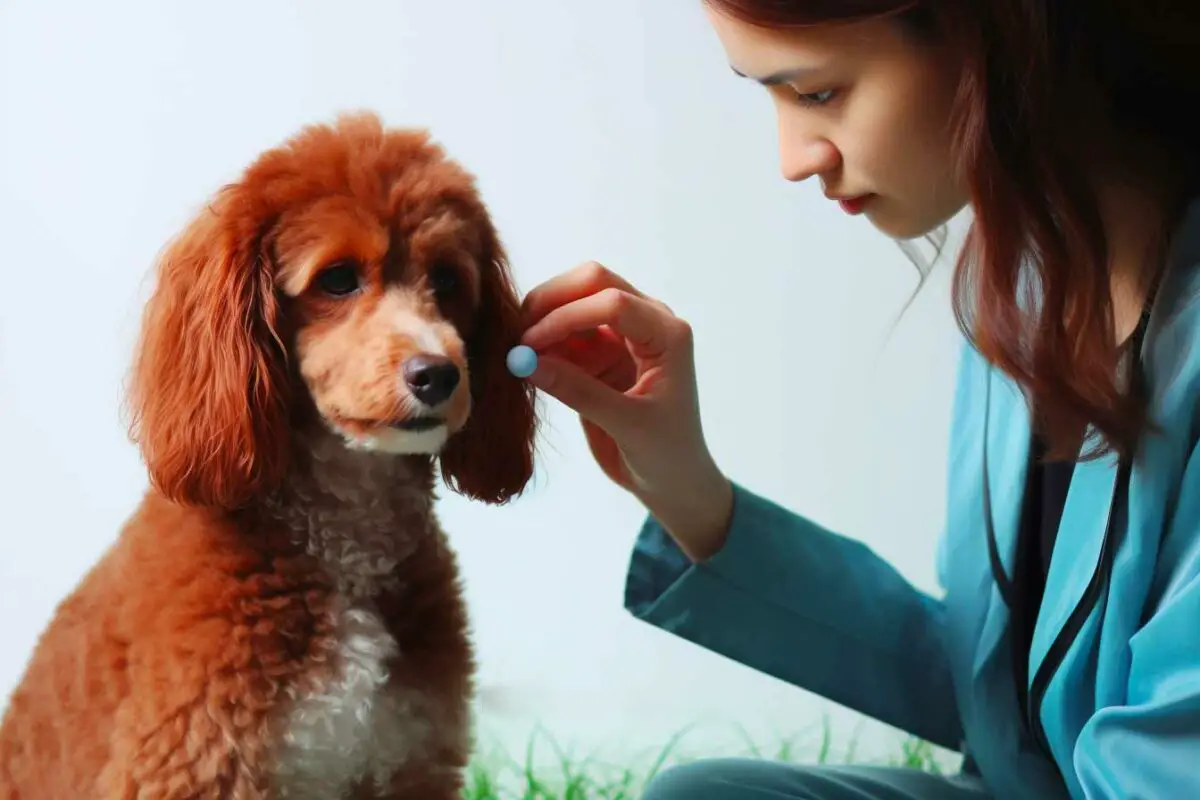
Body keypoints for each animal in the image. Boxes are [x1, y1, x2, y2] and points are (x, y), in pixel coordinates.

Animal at [0, 112, 540, 800]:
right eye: (337, 278)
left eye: (447, 280)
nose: (437, 373)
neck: (343, 544)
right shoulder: (195, 765)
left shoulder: (407, 759)